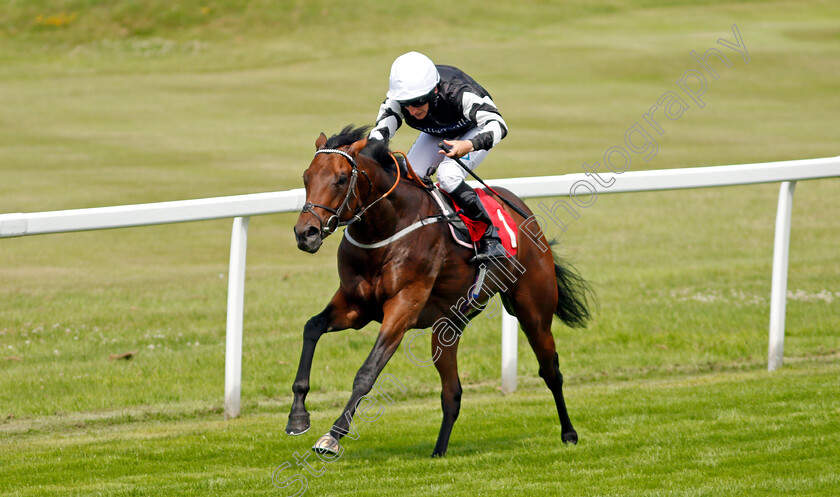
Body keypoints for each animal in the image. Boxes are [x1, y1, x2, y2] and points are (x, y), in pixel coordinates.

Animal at [288, 125, 592, 458]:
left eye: (341, 179)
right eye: (306, 177)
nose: (306, 233)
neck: (387, 227)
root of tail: (525, 213)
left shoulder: (404, 305)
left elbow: (367, 372)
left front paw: (332, 436)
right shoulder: (356, 305)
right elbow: (312, 327)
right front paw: (297, 417)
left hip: (533, 311)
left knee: (551, 371)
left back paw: (569, 433)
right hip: (448, 326)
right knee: (452, 391)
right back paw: (439, 450)